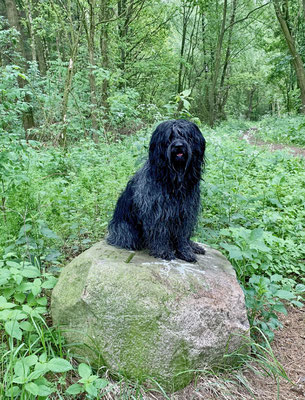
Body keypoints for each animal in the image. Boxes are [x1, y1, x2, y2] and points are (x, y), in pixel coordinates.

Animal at [106, 119, 204, 262]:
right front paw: (163, 251)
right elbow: (160, 232)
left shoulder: (185, 212)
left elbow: (182, 236)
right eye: (169, 137)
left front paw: (186, 251)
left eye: (186, 136)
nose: (178, 146)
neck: (173, 181)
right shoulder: (157, 212)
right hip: (126, 229)